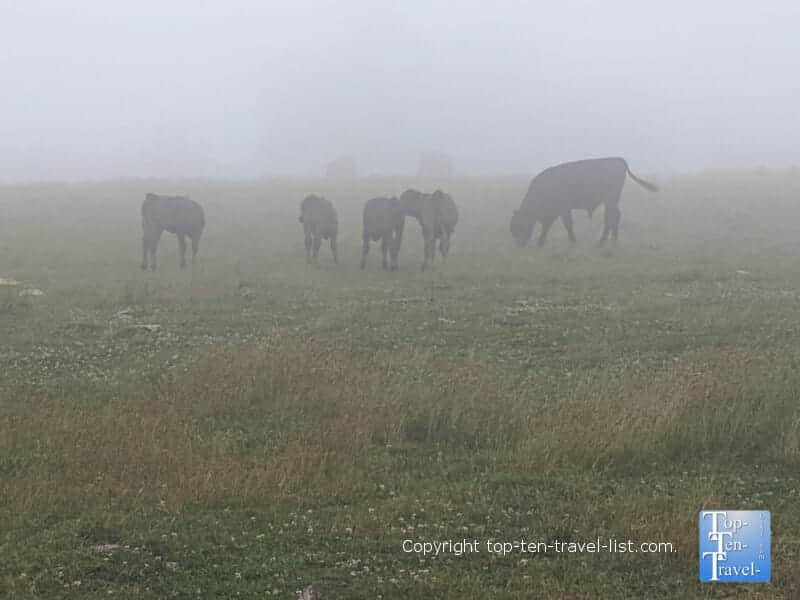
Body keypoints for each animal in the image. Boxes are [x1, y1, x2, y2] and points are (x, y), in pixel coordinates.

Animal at [510, 157, 658, 247]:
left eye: (519, 225)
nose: (519, 245)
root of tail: (617, 159)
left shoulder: (564, 209)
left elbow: (567, 225)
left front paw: (572, 242)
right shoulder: (556, 212)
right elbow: (548, 226)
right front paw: (541, 242)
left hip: (610, 200)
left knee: (611, 217)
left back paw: (603, 242)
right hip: (611, 201)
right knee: (614, 216)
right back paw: (612, 241)